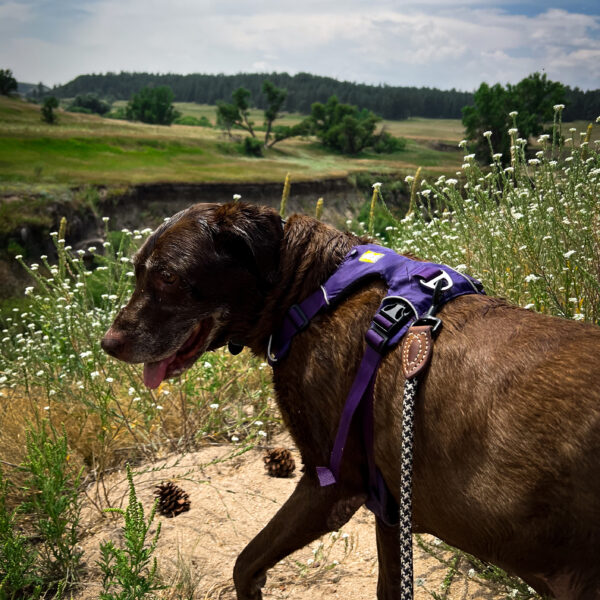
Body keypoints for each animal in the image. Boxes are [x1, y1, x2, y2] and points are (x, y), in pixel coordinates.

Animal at [102, 203, 600, 600]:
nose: (108, 344)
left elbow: (244, 565)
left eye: (168, 276)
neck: (308, 291)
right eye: (136, 271)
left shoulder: (331, 484)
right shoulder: (390, 506)